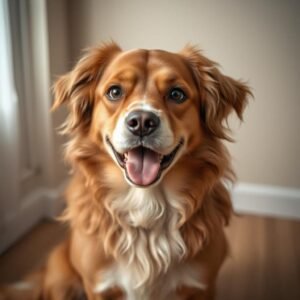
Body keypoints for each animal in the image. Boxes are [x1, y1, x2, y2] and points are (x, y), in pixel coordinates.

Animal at [0, 42, 251, 300]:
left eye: (177, 94)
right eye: (114, 92)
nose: (141, 122)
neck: (146, 206)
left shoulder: (202, 286)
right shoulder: (98, 287)